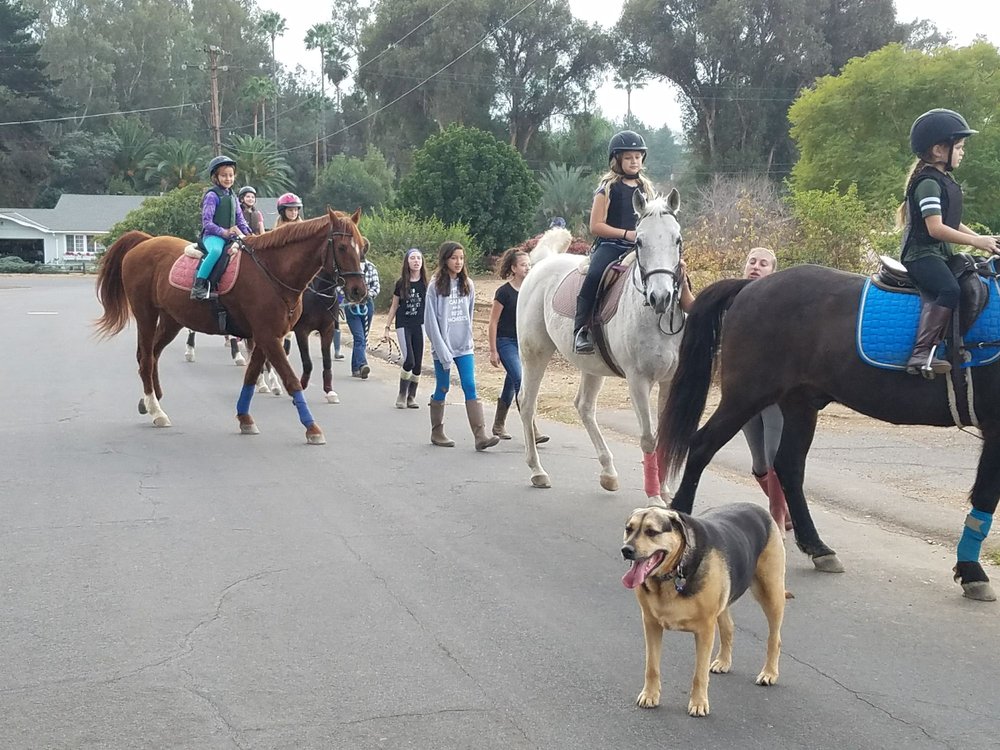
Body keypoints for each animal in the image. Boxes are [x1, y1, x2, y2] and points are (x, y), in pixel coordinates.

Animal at [94, 209, 367, 444]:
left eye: (362, 246)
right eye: (342, 247)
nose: (358, 291)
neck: (272, 271)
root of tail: (145, 242)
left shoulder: (267, 336)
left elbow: (251, 375)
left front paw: (245, 418)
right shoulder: (268, 337)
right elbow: (291, 380)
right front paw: (312, 427)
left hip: (172, 320)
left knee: (153, 354)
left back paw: (150, 401)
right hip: (146, 315)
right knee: (146, 359)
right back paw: (156, 410)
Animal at [516, 189, 685, 500]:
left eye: (676, 239)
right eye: (639, 241)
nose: (661, 297)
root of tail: (544, 263)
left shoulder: (670, 380)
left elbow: (664, 436)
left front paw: (666, 491)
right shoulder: (638, 380)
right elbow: (648, 438)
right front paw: (654, 495)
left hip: (591, 366)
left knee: (584, 407)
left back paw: (608, 473)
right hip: (534, 354)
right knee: (527, 403)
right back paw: (537, 470)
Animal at [657, 263, 1000, 601]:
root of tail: (751, 287)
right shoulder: (994, 428)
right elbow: (985, 494)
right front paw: (972, 572)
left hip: (797, 403)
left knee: (788, 466)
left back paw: (817, 548)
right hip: (747, 396)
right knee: (702, 446)